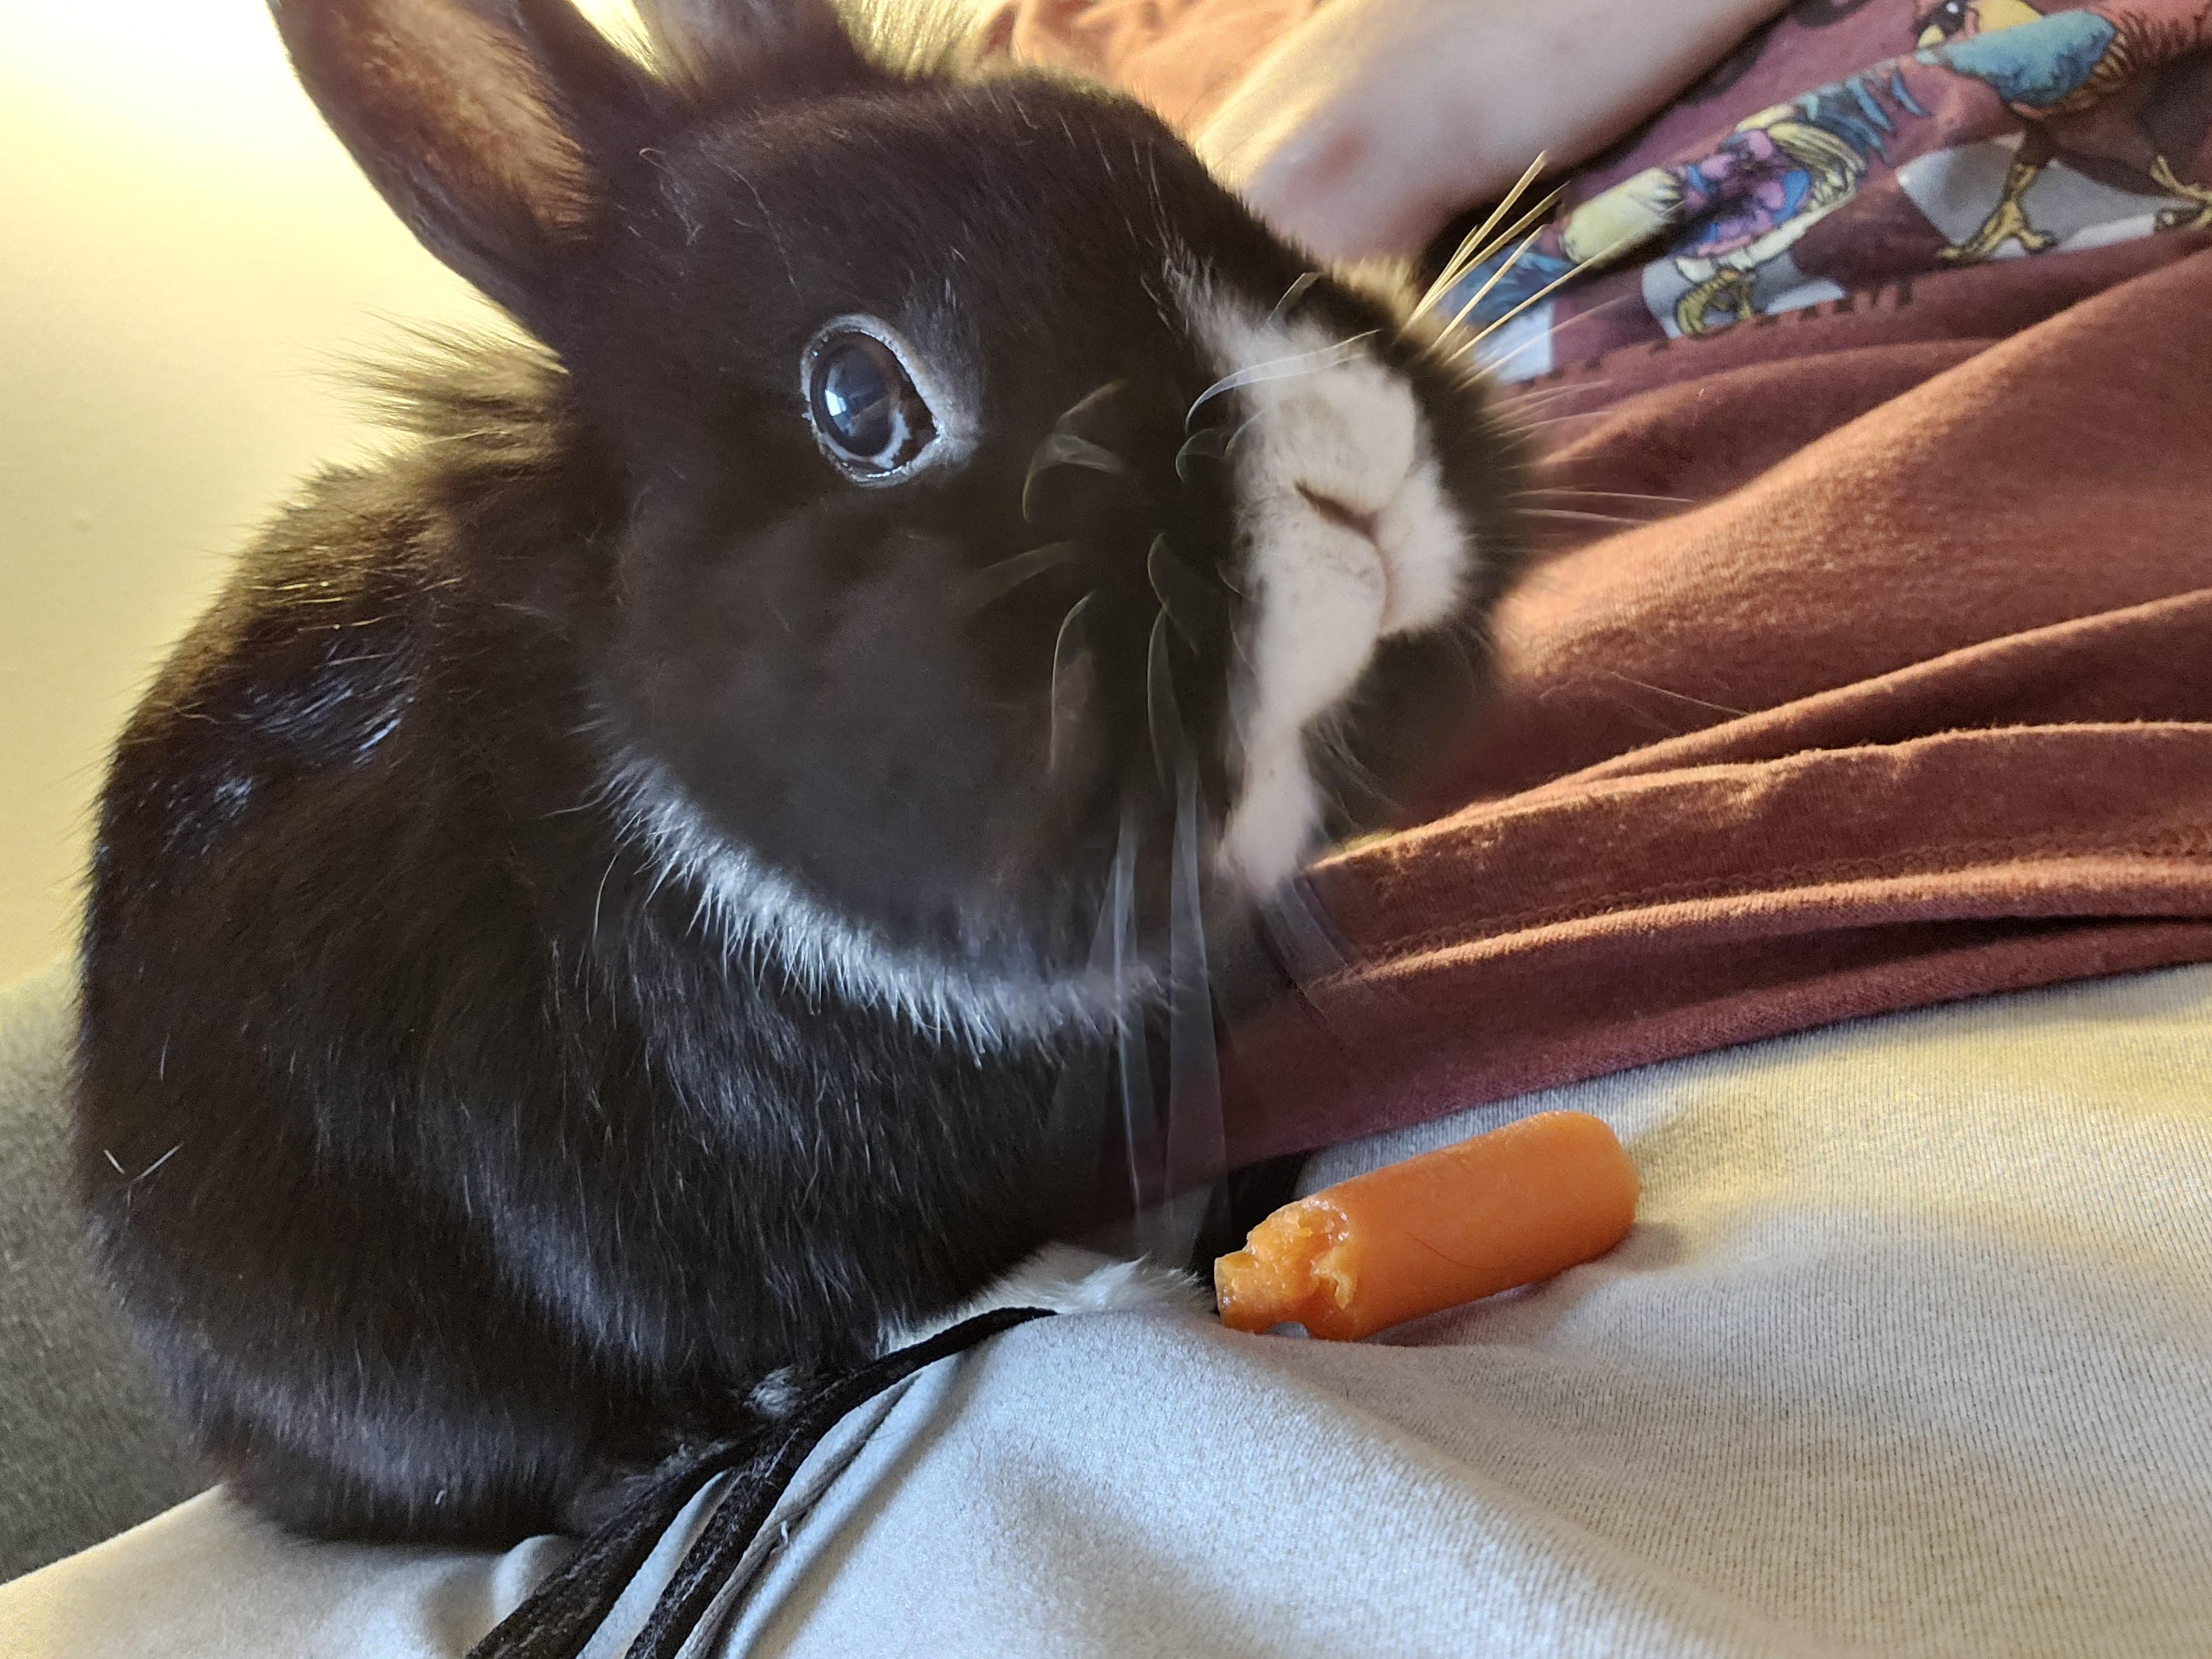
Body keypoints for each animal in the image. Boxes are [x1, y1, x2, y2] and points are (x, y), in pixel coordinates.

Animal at [72, 0, 1529, 1546]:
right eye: (857, 399)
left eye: (1137, 141)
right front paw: (1107, 1279)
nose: (1362, 470)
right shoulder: (715, 1195)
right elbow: (906, 1293)